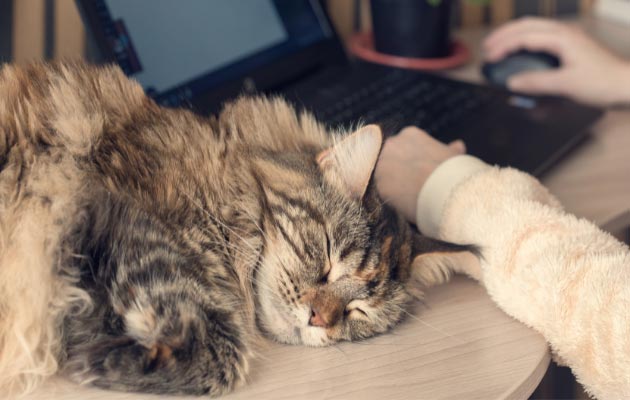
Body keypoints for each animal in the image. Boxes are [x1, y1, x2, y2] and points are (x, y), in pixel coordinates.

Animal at [0, 62, 476, 396]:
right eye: (326, 257)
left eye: (358, 312)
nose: (318, 318)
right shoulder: (115, 213)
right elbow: (222, 349)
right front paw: (93, 360)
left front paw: (98, 350)